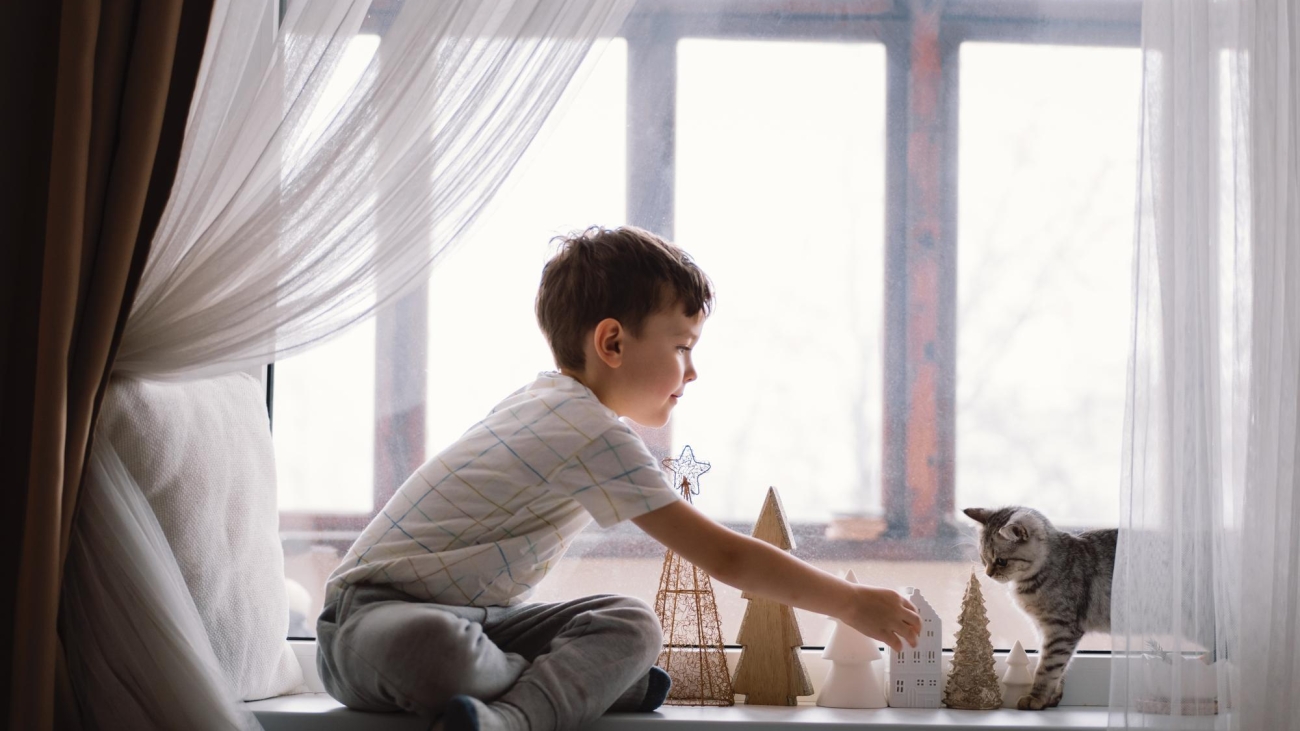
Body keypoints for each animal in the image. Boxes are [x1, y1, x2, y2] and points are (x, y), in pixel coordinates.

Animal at [967, 507, 1118, 707]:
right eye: (983, 558)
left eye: (1001, 561)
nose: (988, 573)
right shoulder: (1043, 628)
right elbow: (1058, 667)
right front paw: (1052, 697)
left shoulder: (1061, 629)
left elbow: (1047, 667)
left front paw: (1036, 698)